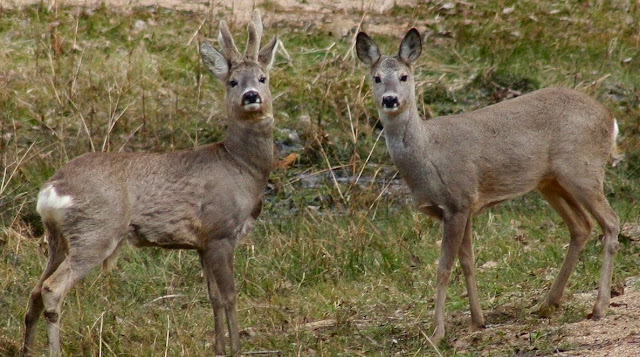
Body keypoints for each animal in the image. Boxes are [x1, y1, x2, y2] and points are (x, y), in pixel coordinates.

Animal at [21, 11, 278, 356]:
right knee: (51, 288)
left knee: (35, 289)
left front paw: (219, 348)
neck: (240, 167)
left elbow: (212, 297)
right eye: (233, 81)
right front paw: (236, 349)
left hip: (57, 238)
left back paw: (26, 349)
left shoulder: (202, 242)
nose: (251, 96)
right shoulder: (221, 231)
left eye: (263, 78)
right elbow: (229, 296)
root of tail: (51, 190)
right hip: (95, 231)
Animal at [356, 28, 620, 342]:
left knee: (611, 222)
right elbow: (467, 262)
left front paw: (437, 332)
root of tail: (610, 118)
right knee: (582, 226)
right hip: (550, 181)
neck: (428, 154)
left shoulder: (458, 201)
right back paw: (547, 304)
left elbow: (444, 268)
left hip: (583, 169)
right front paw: (477, 321)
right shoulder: (465, 207)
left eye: (404, 76)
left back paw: (599, 307)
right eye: (376, 78)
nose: (390, 99)